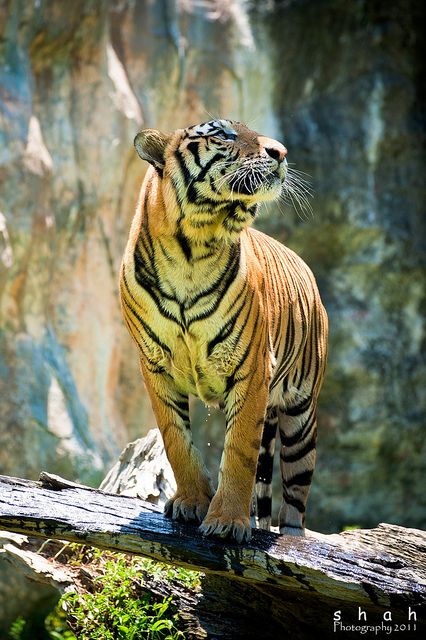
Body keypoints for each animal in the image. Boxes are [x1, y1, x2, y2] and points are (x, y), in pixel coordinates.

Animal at [120, 119, 330, 540]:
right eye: (223, 135)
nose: (280, 151)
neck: (191, 248)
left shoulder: (251, 369)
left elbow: (237, 453)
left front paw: (226, 522)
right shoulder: (155, 367)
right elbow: (177, 440)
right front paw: (191, 503)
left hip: (301, 414)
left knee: (295, 498)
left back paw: (293, 540)